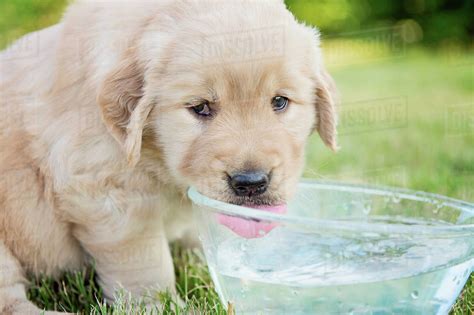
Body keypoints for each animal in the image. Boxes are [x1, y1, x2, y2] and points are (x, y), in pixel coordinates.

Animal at [0, 0, 336, 314]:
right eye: (200, 107)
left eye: (280, 102)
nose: (251, 183)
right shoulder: (107, 189)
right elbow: (145, 261)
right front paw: (157, 305)